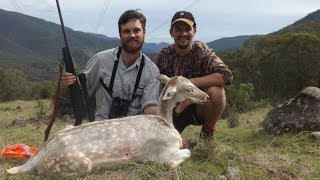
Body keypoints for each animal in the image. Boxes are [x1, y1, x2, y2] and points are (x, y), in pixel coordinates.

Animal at [6, 74, 210, 176]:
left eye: (191, 82)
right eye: (189, 88)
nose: (206, 96)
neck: (166, 121)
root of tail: (38, 155)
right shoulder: (163, 152)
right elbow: (183, 154)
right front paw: (171, 164)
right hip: (74, 163)